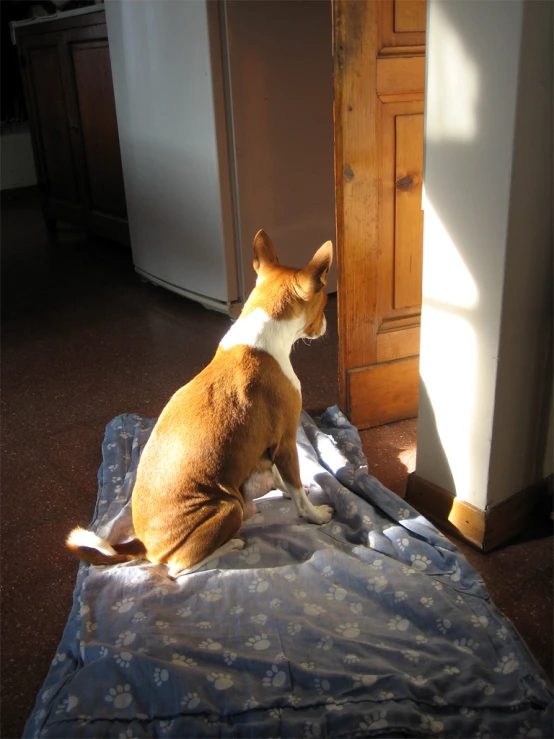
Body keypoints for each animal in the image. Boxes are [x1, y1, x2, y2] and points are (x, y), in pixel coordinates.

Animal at [64, 231, 332, 580]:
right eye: (324, 303)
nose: (326, 324)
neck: (261, 339)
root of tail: (143, 545)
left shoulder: (270, 447)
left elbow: (283, 477)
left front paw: (285, 489)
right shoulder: (286, 441)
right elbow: (297, 489)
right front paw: (314, 514)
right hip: (227, 506)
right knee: (179, 569)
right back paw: (231, 545)